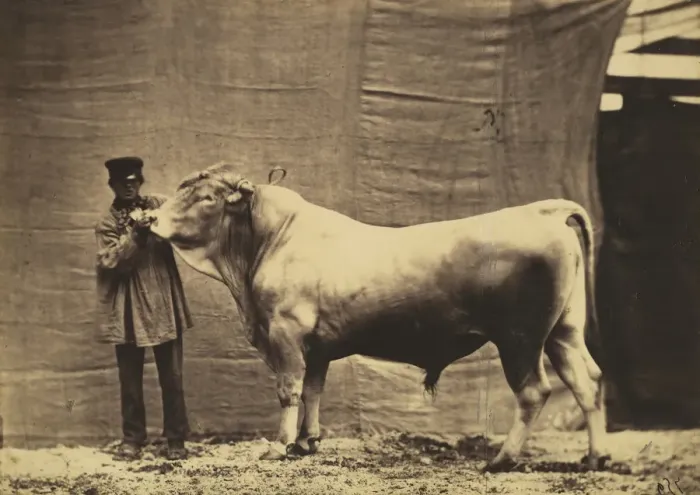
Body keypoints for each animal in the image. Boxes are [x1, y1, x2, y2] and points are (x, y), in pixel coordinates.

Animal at [147, 162, 608, 472]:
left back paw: (501, 459)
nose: (148, 218)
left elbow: (289, 390)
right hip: (564, 330)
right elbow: (314, 390)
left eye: (206, 197)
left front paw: (279, 446)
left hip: (520, 338)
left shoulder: (285, 334)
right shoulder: (317, 346)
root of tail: (541, 211)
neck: (267, 244)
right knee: (587, 381)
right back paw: (596, 457)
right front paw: (308, 442)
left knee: (534, 391)